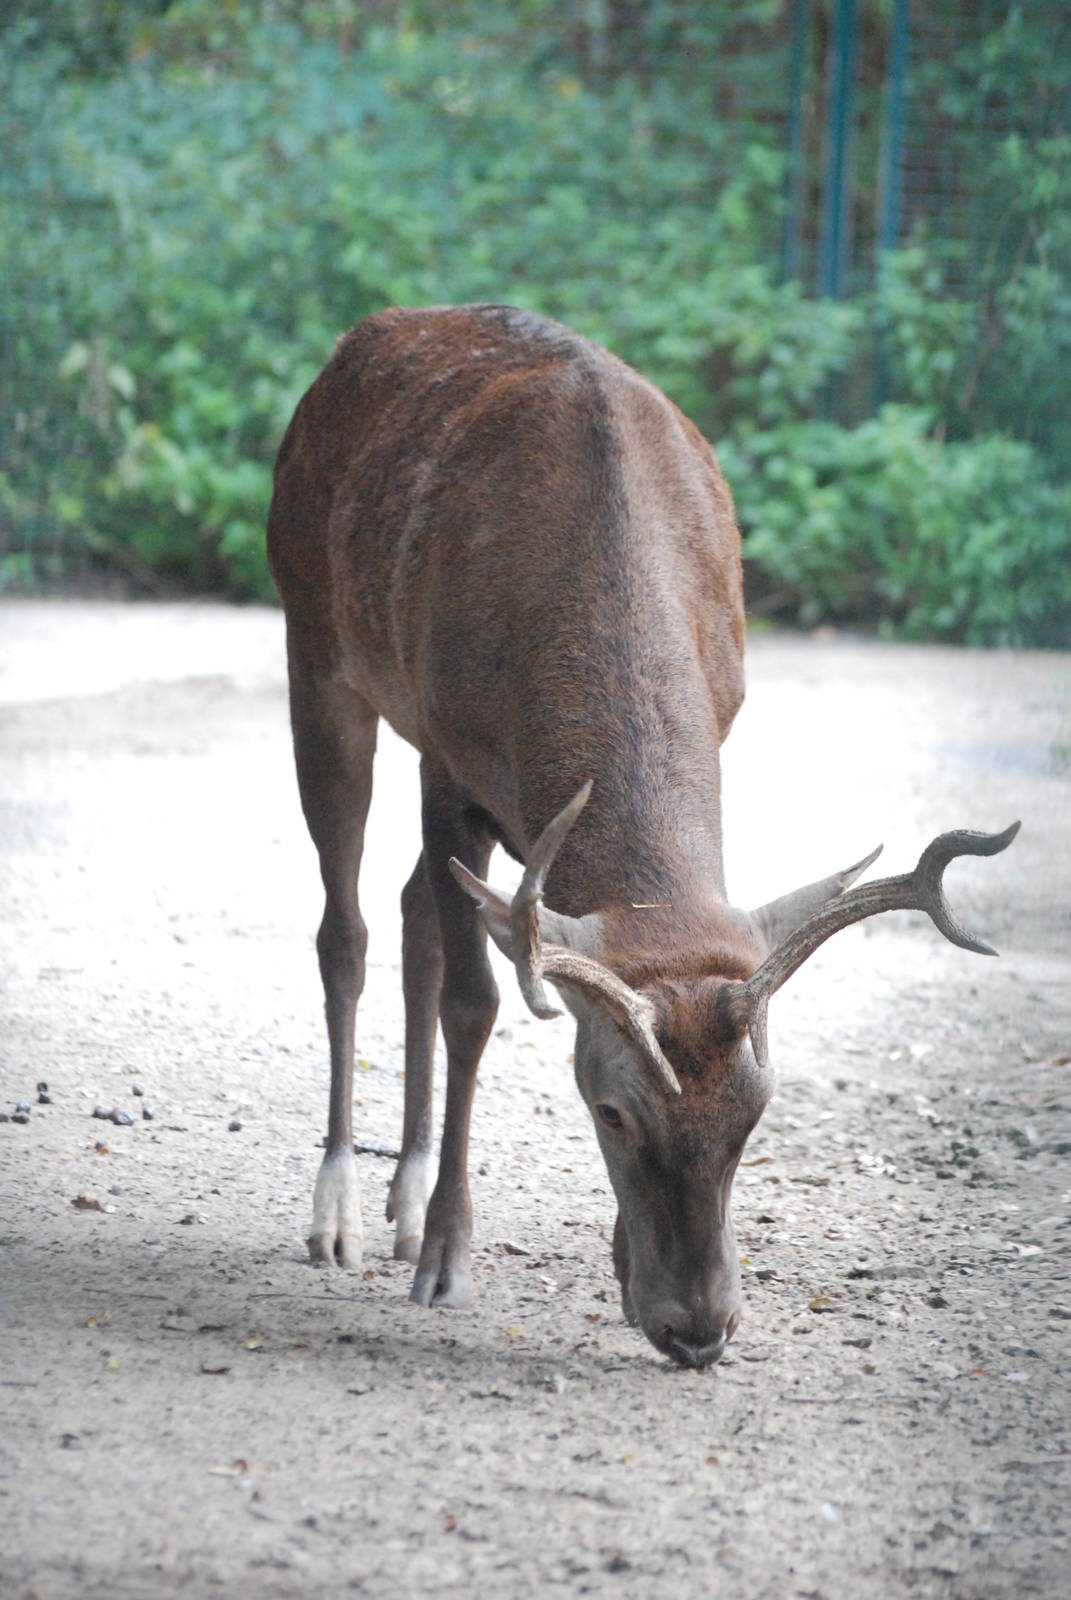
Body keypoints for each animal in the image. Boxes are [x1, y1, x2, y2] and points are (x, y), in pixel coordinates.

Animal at [267, 304, 1018, 1369]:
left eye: (756, 1109)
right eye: (609, 1109)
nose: (697, 1327)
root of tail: (357, 343)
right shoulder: (448, 759)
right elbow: (473, 1004)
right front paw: (449, 1258)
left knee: (413, 910)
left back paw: (400, 1199)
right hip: (316, 646)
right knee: (348, 928)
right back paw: (337, 1210)